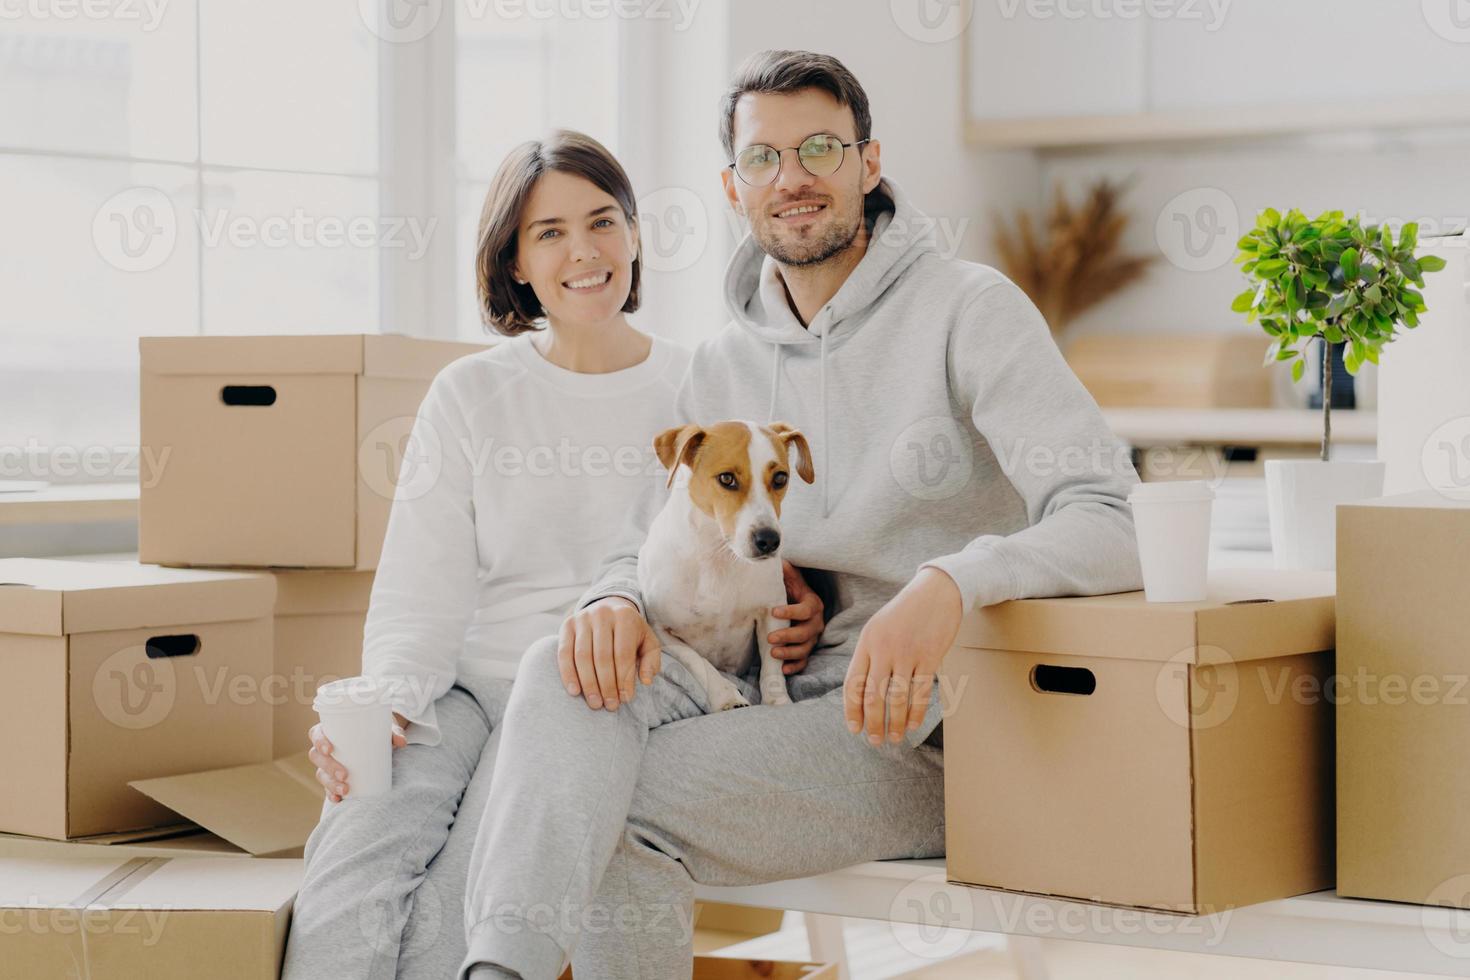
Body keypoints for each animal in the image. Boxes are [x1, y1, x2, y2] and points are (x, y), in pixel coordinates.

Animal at [635, 423, 817, 714]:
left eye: (780, 478)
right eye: (727, 479)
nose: (769, 540)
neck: (719, 555)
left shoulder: (773, 614)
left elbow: (772, 668)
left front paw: (777, 702)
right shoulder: (661, 631)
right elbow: (698, 662)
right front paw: (726, 697)